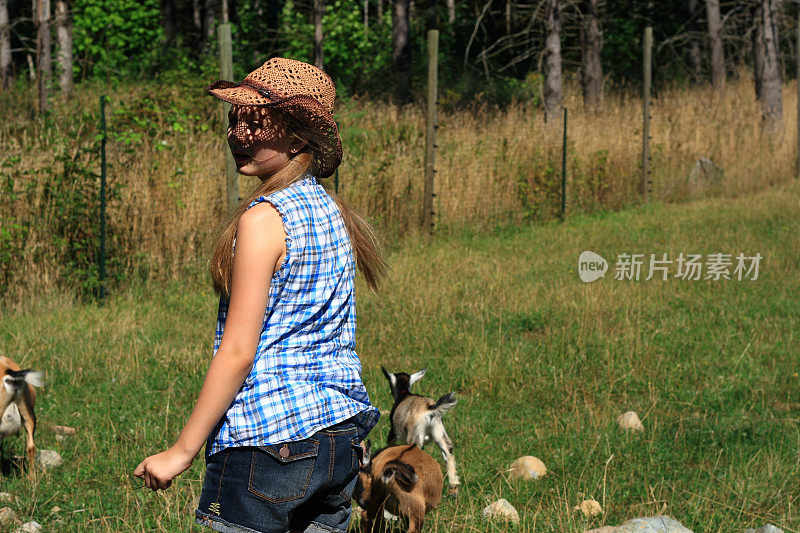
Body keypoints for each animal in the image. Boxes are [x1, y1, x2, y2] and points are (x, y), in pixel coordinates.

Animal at [382, 366, 462, 494]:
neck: (404, 395)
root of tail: (429, 408)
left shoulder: (393, 432)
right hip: (439, 430)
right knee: (448, 452)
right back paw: (453, 487)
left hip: (415, 436)